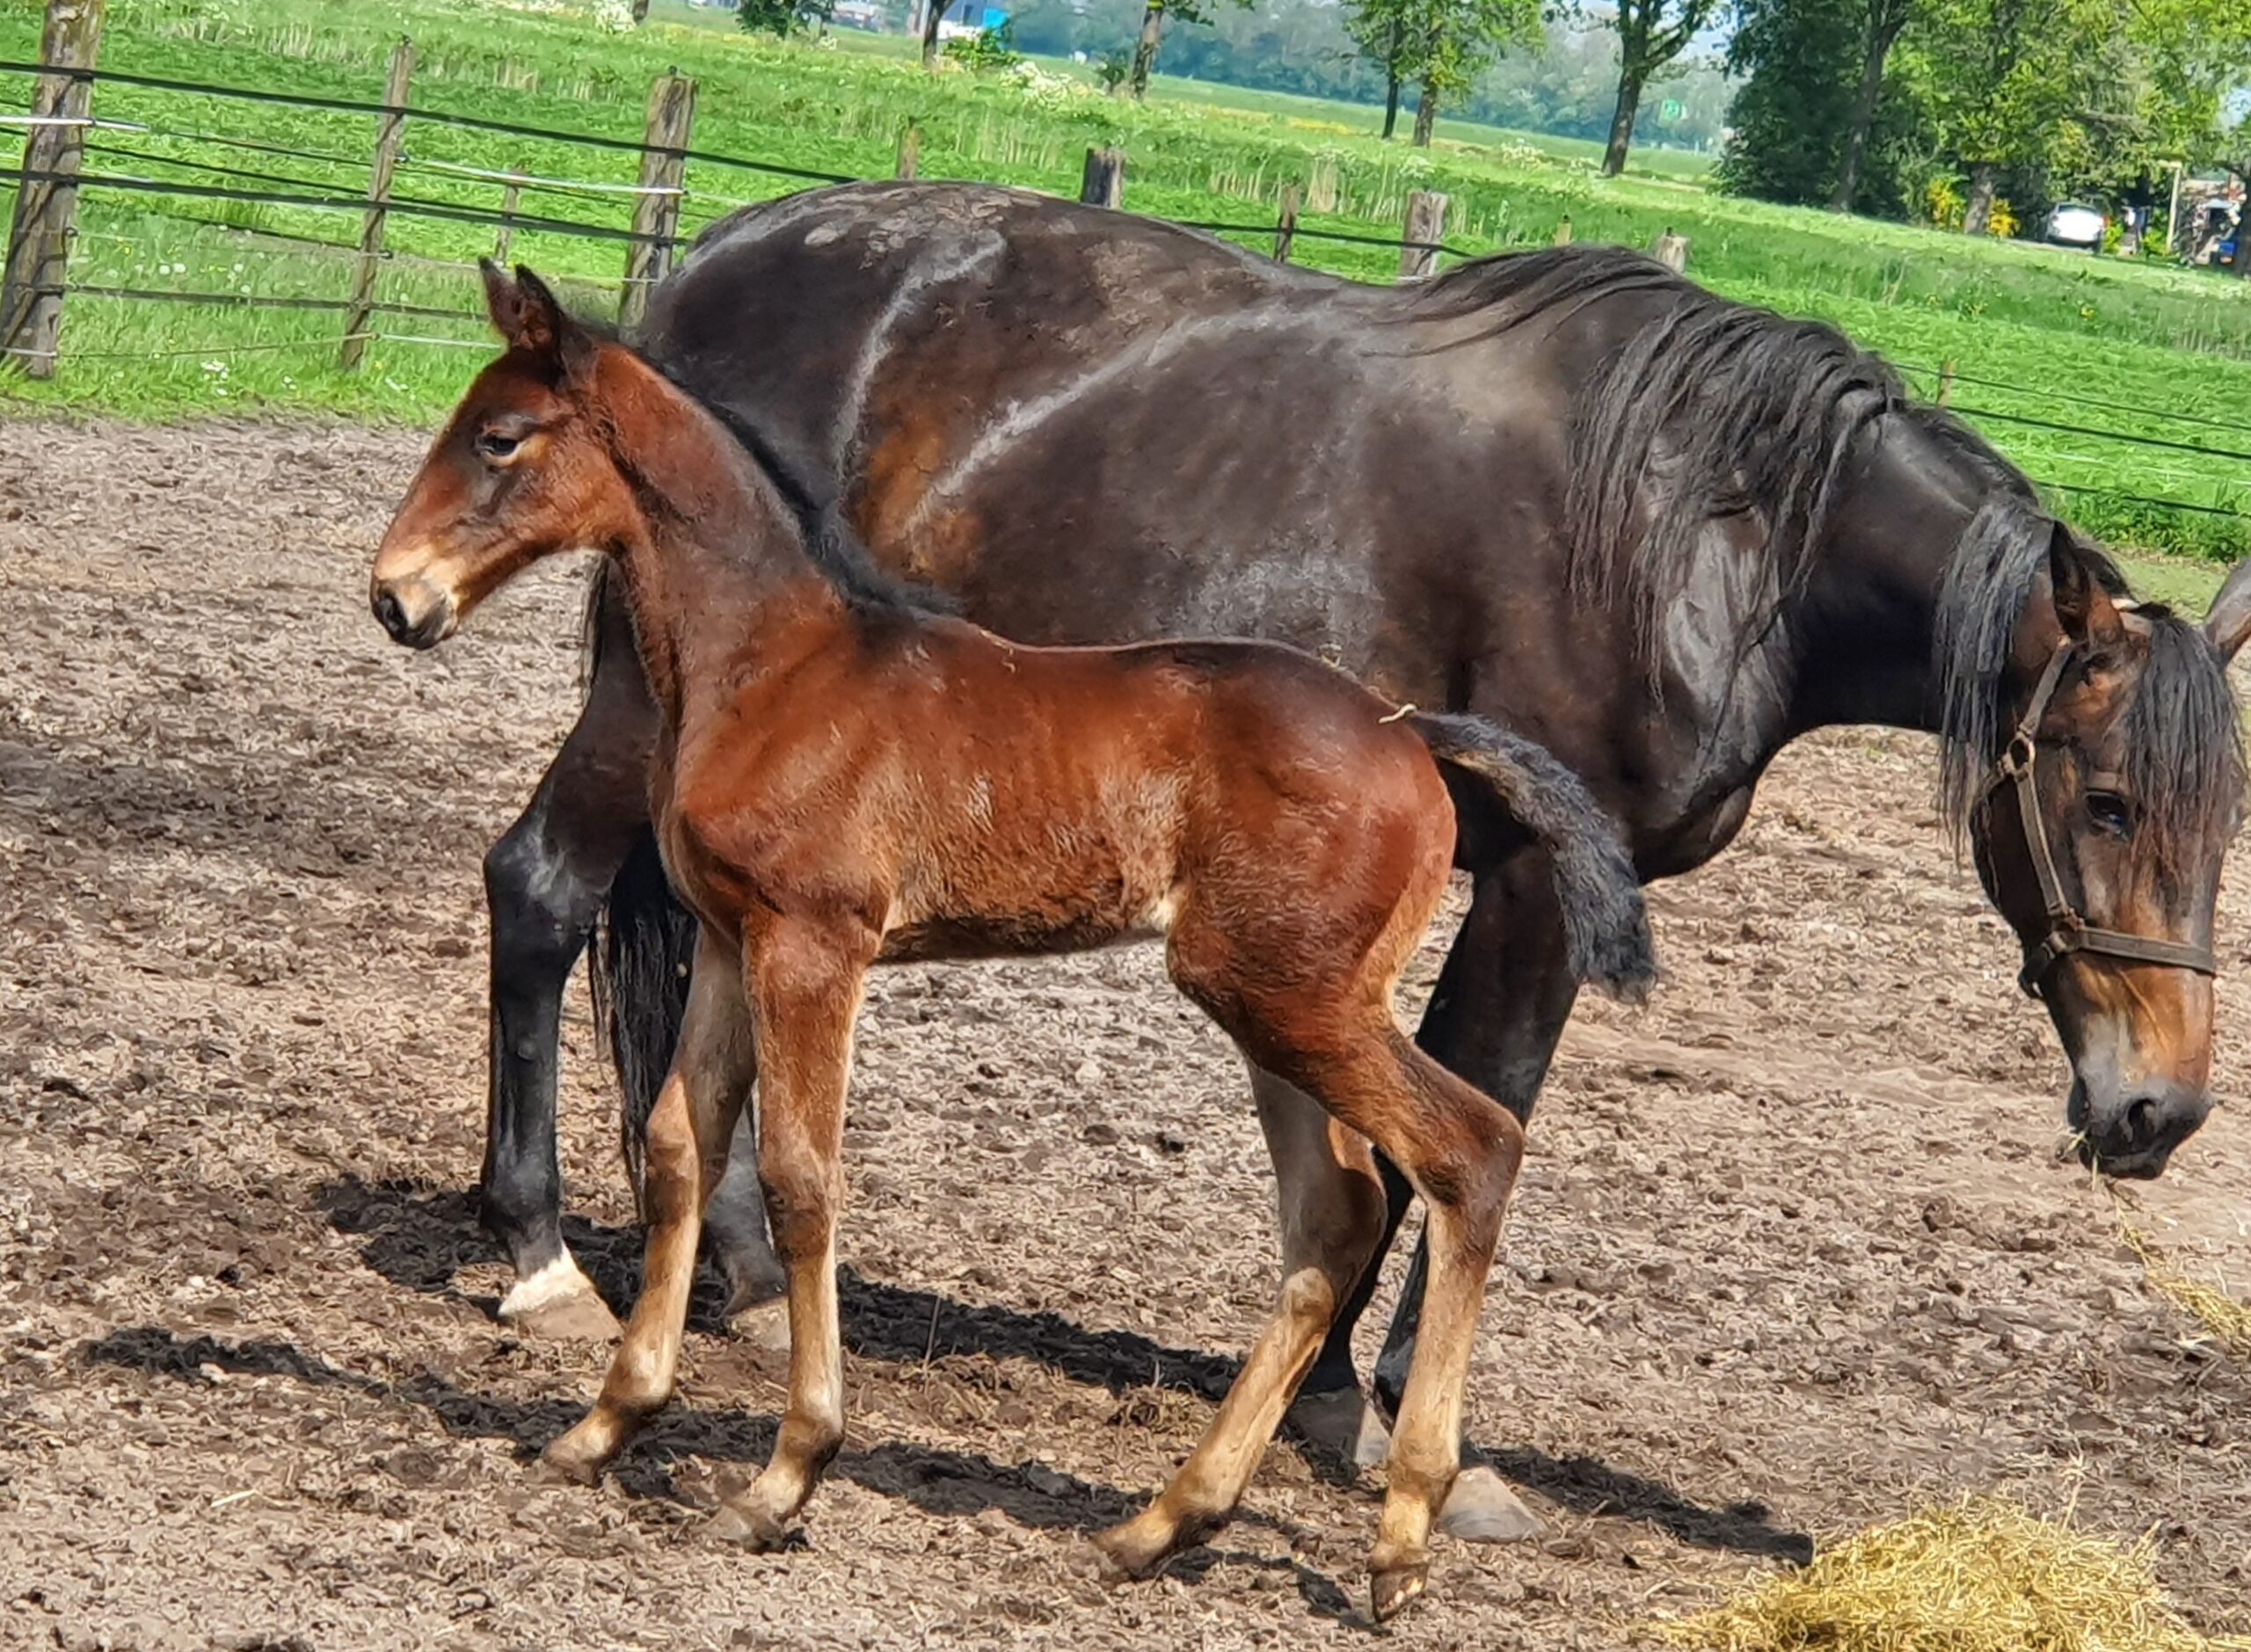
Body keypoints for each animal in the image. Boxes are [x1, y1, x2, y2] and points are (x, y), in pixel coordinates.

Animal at [369, 263, 1659, 1617]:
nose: (396, 598)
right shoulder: (730, 939)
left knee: (1473, 1148)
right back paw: (1162, 1522)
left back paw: (1400, 1539)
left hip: (1289, 996)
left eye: (500, 438)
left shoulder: (814, 945)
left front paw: (786, 1476)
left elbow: (801, 1179)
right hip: (1277, 1001)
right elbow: (679, 1146)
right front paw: (606, 1423)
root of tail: (1417, 735)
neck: (776, 663)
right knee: (1335, 1214)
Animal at [467, 183, 2251, 1540]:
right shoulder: (1533, 886)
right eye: (2106, 803)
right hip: (634, 712)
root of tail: (708, 259)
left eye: (2224, 819)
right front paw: (1381, 1425)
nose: (2158, 1110)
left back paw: (727, 1265)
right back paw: (542, 1253)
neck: (1712, 532)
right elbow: (1468, 1108)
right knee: (539, 890)